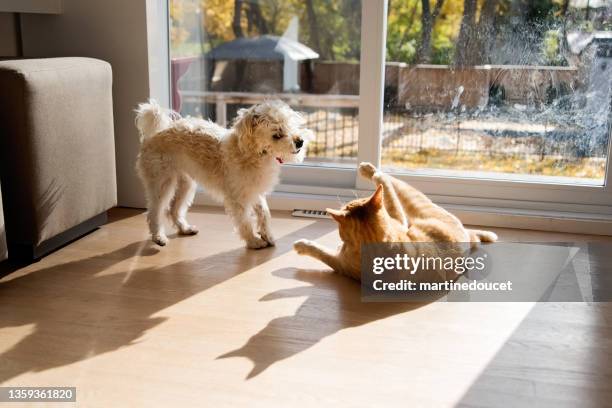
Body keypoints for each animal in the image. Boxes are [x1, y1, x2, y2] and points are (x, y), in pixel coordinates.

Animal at [134, 100, 310, 247]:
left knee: (174, 210)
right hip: (162, 184)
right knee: (154, 212)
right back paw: (158, 237)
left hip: (186, 184)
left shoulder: (253, 191)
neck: (252, 154)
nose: (300, 141)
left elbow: (264, 213)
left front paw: (268, 236)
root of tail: (156, 133)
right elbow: (245, 220)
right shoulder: (238, 198)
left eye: (290, 125)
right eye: (277, 135)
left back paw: (185, 228)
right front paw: (254, 241)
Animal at [292, 163, 498, 280]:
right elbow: (321, 251)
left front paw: (301, 245)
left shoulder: (339, 262)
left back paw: (368, 168)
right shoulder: (340, 263)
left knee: (386, 179)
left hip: (417, 204)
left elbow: (319, 250)